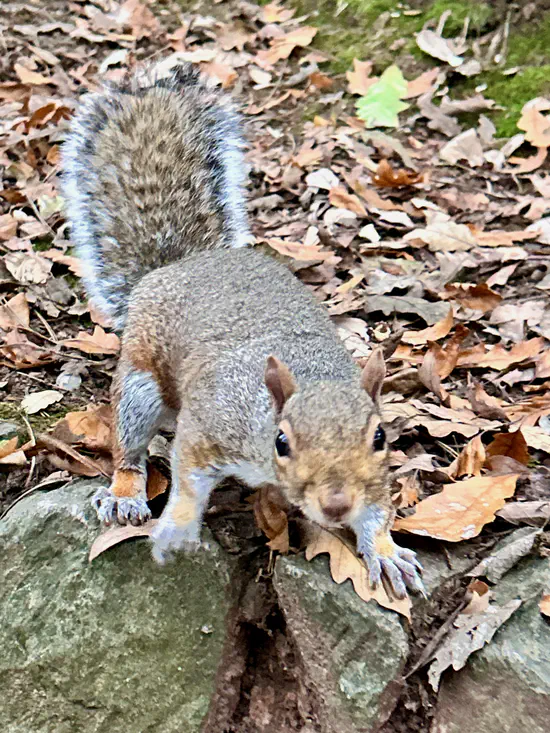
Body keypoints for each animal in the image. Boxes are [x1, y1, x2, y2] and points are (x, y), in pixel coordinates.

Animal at [61, 63, 426, 600]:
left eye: (379, 437)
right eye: (282, 441)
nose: (337, 504)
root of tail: (178, 266)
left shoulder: (376, 472)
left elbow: (378, 507)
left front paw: (385, 550)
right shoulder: (212, 422)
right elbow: (186, 474)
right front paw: (177, 527)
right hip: (141, 384)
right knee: (128, 445)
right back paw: (125, 492)